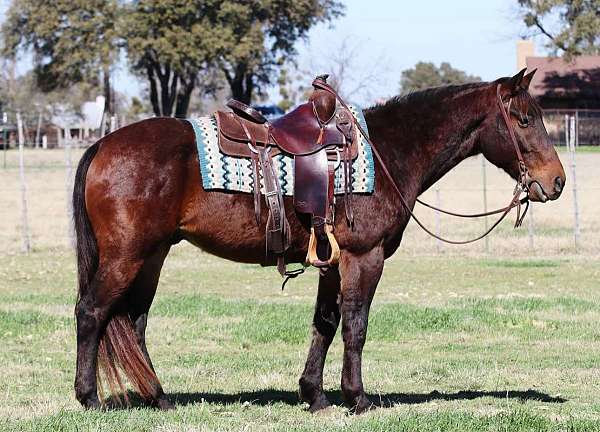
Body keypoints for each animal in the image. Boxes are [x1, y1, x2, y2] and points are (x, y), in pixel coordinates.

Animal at [72, 69, 564, 414]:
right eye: (523, 119)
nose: (556, 181)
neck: (388, 151)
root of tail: (102, 146)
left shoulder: (333, 260)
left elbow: (324, 324)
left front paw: (315, 395)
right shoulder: (364, 257)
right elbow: (355, 326)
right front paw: (357, 398)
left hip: (151, 257)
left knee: (133, 323)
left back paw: (158, 397)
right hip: (126, 256)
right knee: (92, 312)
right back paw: (89, 397)